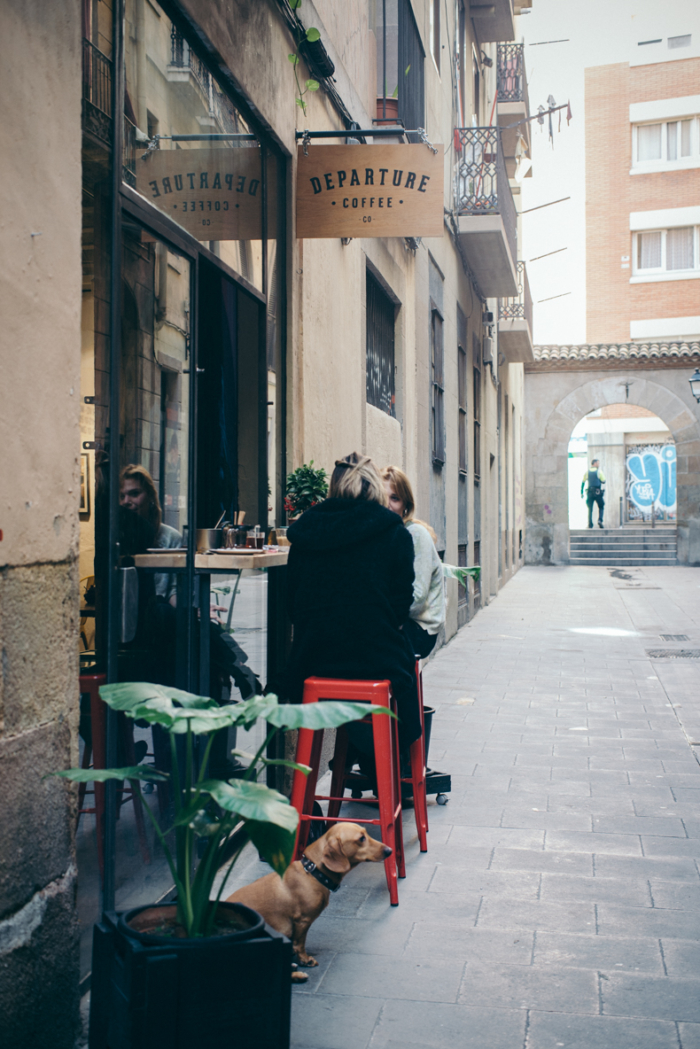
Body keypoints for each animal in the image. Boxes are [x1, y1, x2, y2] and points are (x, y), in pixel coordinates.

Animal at [227, 818, 392, 973]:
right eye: (361, 838)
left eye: (366, 834)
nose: (390, 850)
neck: (313, 873)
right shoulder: (303, 920)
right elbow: (300, 943)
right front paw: (305, 960)